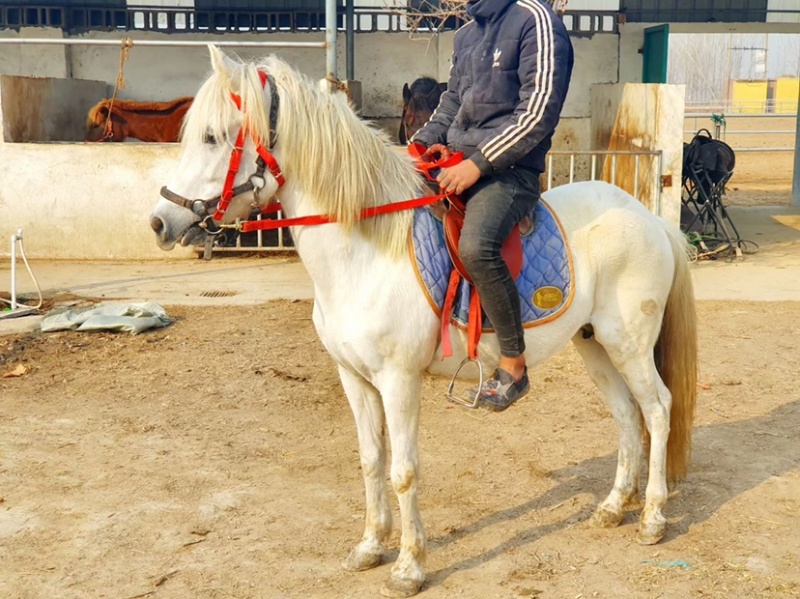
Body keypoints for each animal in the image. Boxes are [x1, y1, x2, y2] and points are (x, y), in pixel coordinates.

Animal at [150, 47, 697, 598]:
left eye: (213, 136)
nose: (159, 221)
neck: (365, 250)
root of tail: (649, 217)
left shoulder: (399, 380)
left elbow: (404, 470)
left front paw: (409, 566)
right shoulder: (353, 378)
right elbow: (371, 460)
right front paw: (371, 546)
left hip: (628, 344)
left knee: (657, 410)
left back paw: (652, 517)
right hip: (594, 345)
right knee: (627, 415)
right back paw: (612, 507)